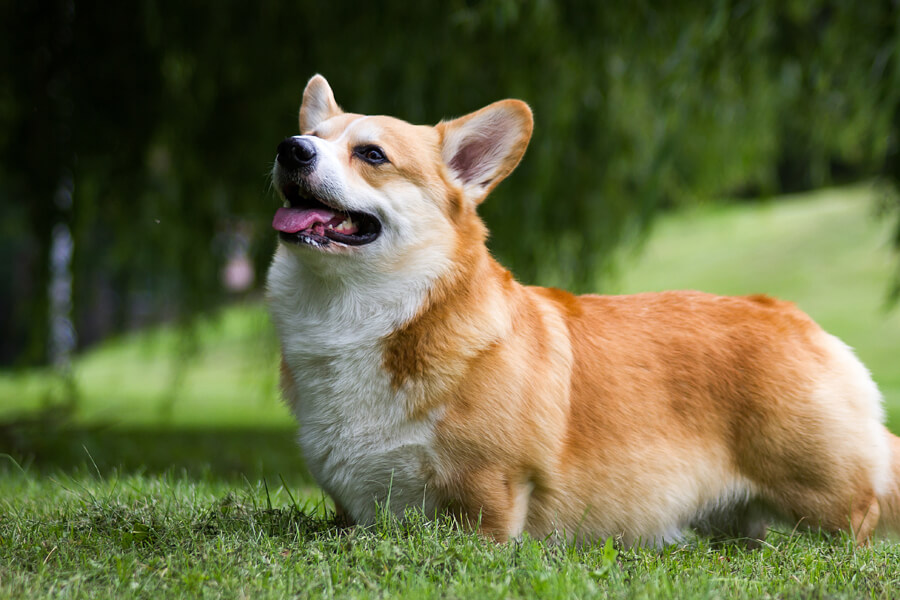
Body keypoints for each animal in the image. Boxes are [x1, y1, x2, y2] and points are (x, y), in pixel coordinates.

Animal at [266, 74, 900, 544]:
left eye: (371, 154)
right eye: (312, 135)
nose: (289, 148)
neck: (360, 312)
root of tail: (798, 319)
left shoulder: (489, 490)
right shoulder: (353, 509)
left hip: (821, 494)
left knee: (860, 517)